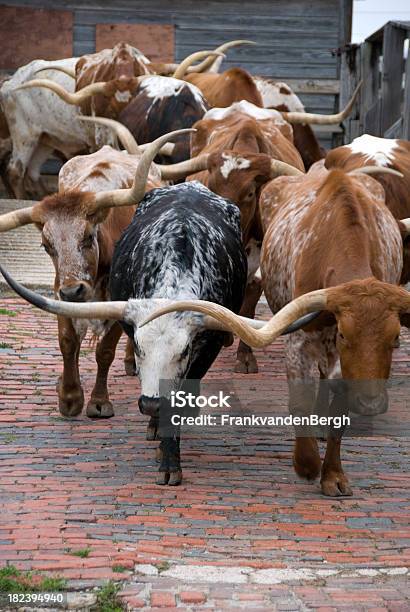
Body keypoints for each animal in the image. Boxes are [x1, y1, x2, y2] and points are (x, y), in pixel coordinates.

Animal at [144, 164, 410, 498]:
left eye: (395, 338)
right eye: (345, 335)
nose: (370, 403)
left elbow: (339, 414)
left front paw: (333, 475)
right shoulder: (300, 343)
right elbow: (299, 403)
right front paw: (306, 464)